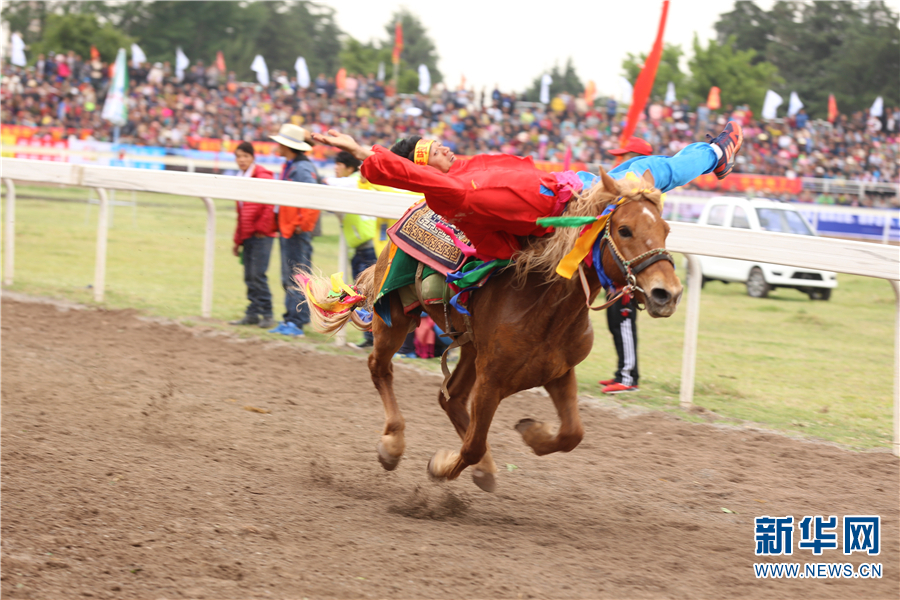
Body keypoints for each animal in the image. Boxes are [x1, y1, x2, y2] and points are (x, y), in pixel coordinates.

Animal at [300, 168, 684, 492]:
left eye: (666, 230)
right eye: (625, 230)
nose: (667, 294)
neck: (545, 303)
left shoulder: (558, 371)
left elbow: (571, 434)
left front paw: (532, 432)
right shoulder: (492, 379)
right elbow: (472, 444)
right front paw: (441, 466)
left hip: (470, 346)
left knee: (450, 397)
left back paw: (483, 466)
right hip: (395, 316)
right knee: (381, 369)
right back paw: (393, 445)